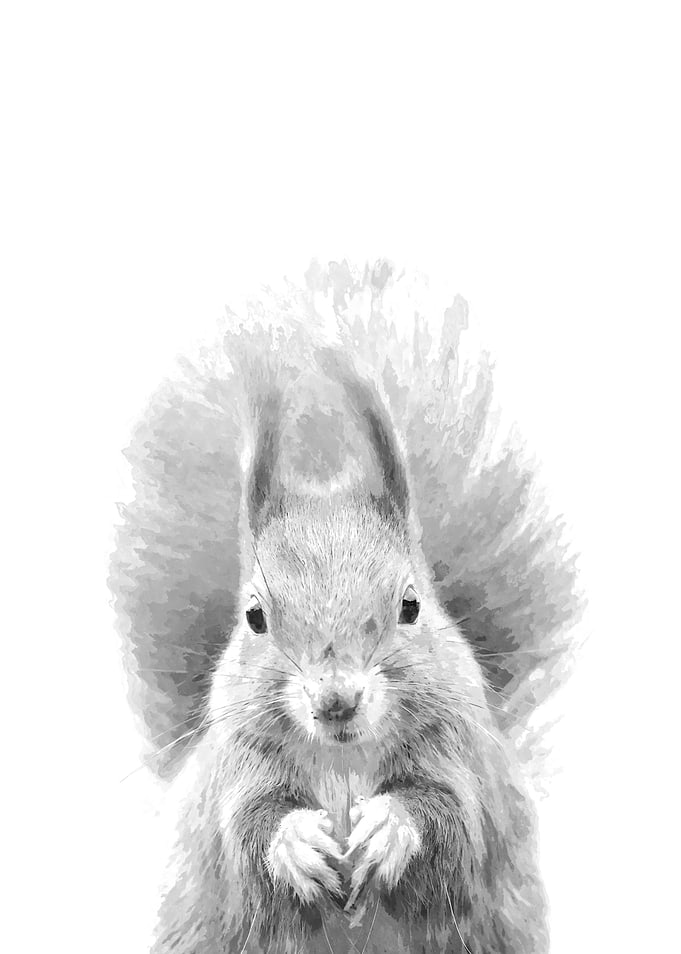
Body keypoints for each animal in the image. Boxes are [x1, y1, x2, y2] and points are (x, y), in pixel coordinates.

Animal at [110, 261, 581, 953]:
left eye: (411, 605)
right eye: (255, 618)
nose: (336, 699)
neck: (342, 759)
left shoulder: (466, 762)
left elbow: (454, 823)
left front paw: (388, 827)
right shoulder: (235, 773)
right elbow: (244, 834)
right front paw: (295, 842)